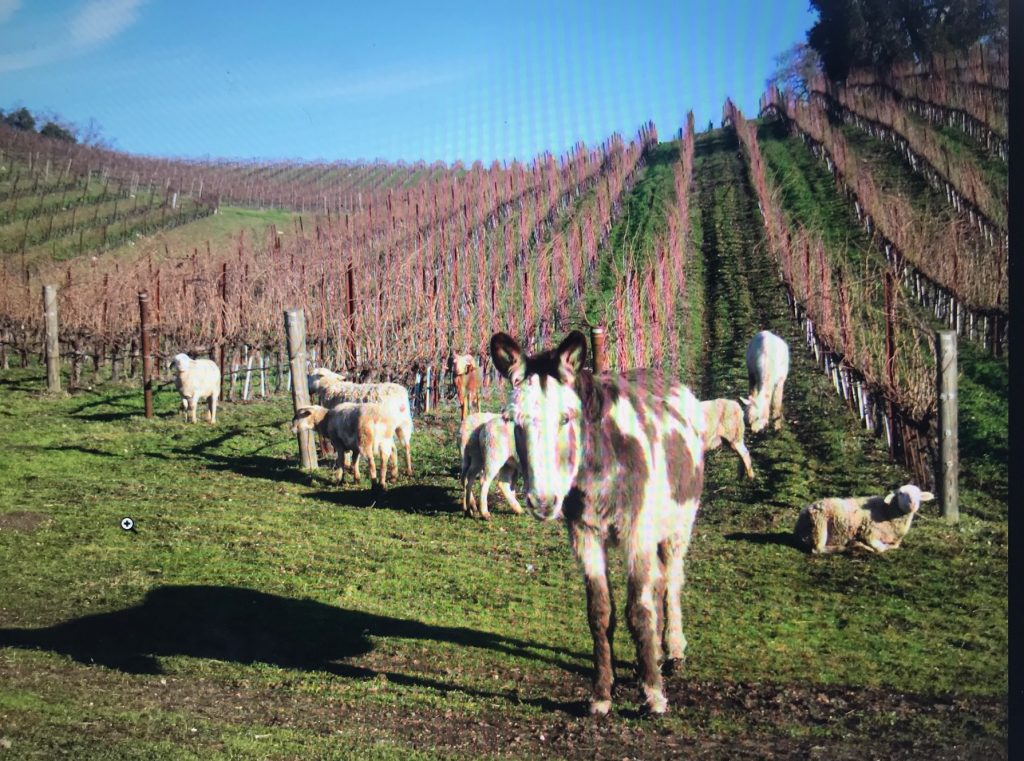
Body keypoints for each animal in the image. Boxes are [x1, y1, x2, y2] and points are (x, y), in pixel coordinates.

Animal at [790, 485, 937, 557]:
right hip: (819, 525)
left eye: (918, 494)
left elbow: (894, 546)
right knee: (818, 549)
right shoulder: (869, 533)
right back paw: (848, 547)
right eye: (900, 493)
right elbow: (880, 549)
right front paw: (866, 546)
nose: (913, 504)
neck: (887, 511)